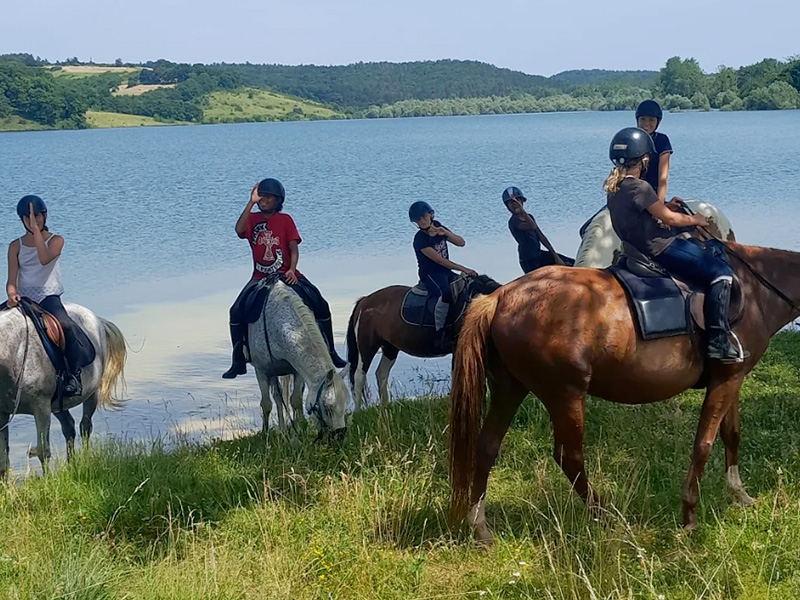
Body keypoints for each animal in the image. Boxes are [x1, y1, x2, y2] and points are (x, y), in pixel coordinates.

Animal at [0, 303, 127, 475]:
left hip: (91, 395)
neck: (16, 350)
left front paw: (47, 480)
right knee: (69, 428)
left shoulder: (41, 407)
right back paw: (72, 464)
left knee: (85, 427)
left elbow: (43, 450)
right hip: (59, 405)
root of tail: (98, 320)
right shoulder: (2, 413)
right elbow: (3, 459)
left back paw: (84, 461)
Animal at [249, 281, 348, 436]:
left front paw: (301, 427)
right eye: (327, 407)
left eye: (345, 404)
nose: (340, 435)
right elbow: (266, 404)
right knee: (277, 397)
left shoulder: (297, 370)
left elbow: (295, 399)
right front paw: (265, 434)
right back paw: (281, 429)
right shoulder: (262, 371)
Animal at [345, 274, 501, 411]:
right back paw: (358, 412)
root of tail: (365, 301)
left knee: (381, 373)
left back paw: (385, 407)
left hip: (390, 347)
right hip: (367, 346)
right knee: (359, 376)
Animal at [449, 241, 800, 545]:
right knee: (569, 457)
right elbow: (703, 444)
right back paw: (605, 516)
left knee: (487, 447)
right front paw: (689, 516)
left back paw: (480, 527)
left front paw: (739, 495)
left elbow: (731, 434)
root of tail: (499, 297)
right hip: (565, 395)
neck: (755, 290)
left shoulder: (732, 378)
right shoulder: (727, 379)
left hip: (510, 389)